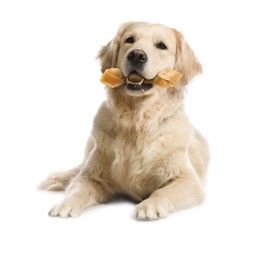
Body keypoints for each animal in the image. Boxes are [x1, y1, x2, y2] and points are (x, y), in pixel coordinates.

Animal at [38, 21, 209, 219]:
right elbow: (78, 188)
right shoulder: (93, 174)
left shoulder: (187, 180)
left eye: (161, 45)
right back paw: (55, 180)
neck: (136, 120)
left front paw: (150, 205)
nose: (137, 55)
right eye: (130, 40)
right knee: (76, 171)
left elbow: (163, 192)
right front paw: (66, 204)